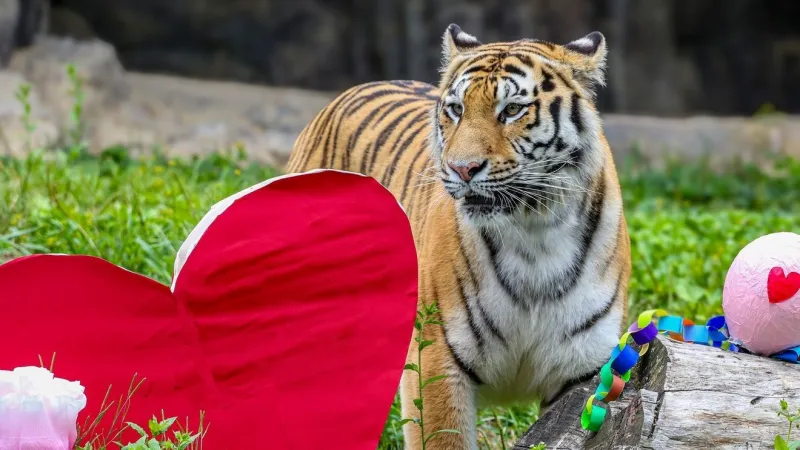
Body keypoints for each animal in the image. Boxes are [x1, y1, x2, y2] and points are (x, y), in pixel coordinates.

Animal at [285, 24, 631, 450]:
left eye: (512, 110)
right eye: (456, 110)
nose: (462, 169)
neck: (535, 231)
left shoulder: (583, 369)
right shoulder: (436, 356)